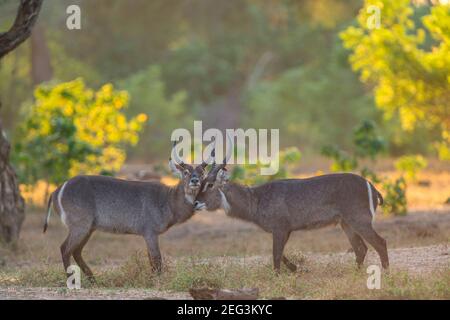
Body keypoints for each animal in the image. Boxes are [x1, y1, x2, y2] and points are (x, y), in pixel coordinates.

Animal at [42, 141, 211, 278]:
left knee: (76, 251)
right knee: (65, 249)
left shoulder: (148, 234)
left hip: (89, 228)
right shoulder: (150, 232)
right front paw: (157, 281)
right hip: (80, 225)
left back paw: (93, 280)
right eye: (185, 172)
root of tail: (57, 190)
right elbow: (156, 261)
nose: (195, 180)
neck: (168, 200)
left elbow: (152, 260)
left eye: (202, 172)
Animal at [195, 155, 388, 272]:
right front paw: (295, 269)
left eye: (210, 184)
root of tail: (372, 187)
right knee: (361, 249)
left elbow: (276, 255)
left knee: (380, 243)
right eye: (201, 183)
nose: (196, 202)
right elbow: (280, 254)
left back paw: (386, 274)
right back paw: (355, 274)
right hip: (346, 223)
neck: (256, 200)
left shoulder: (280, 228)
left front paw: (278, 277)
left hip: (359, 220)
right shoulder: (285, 230)